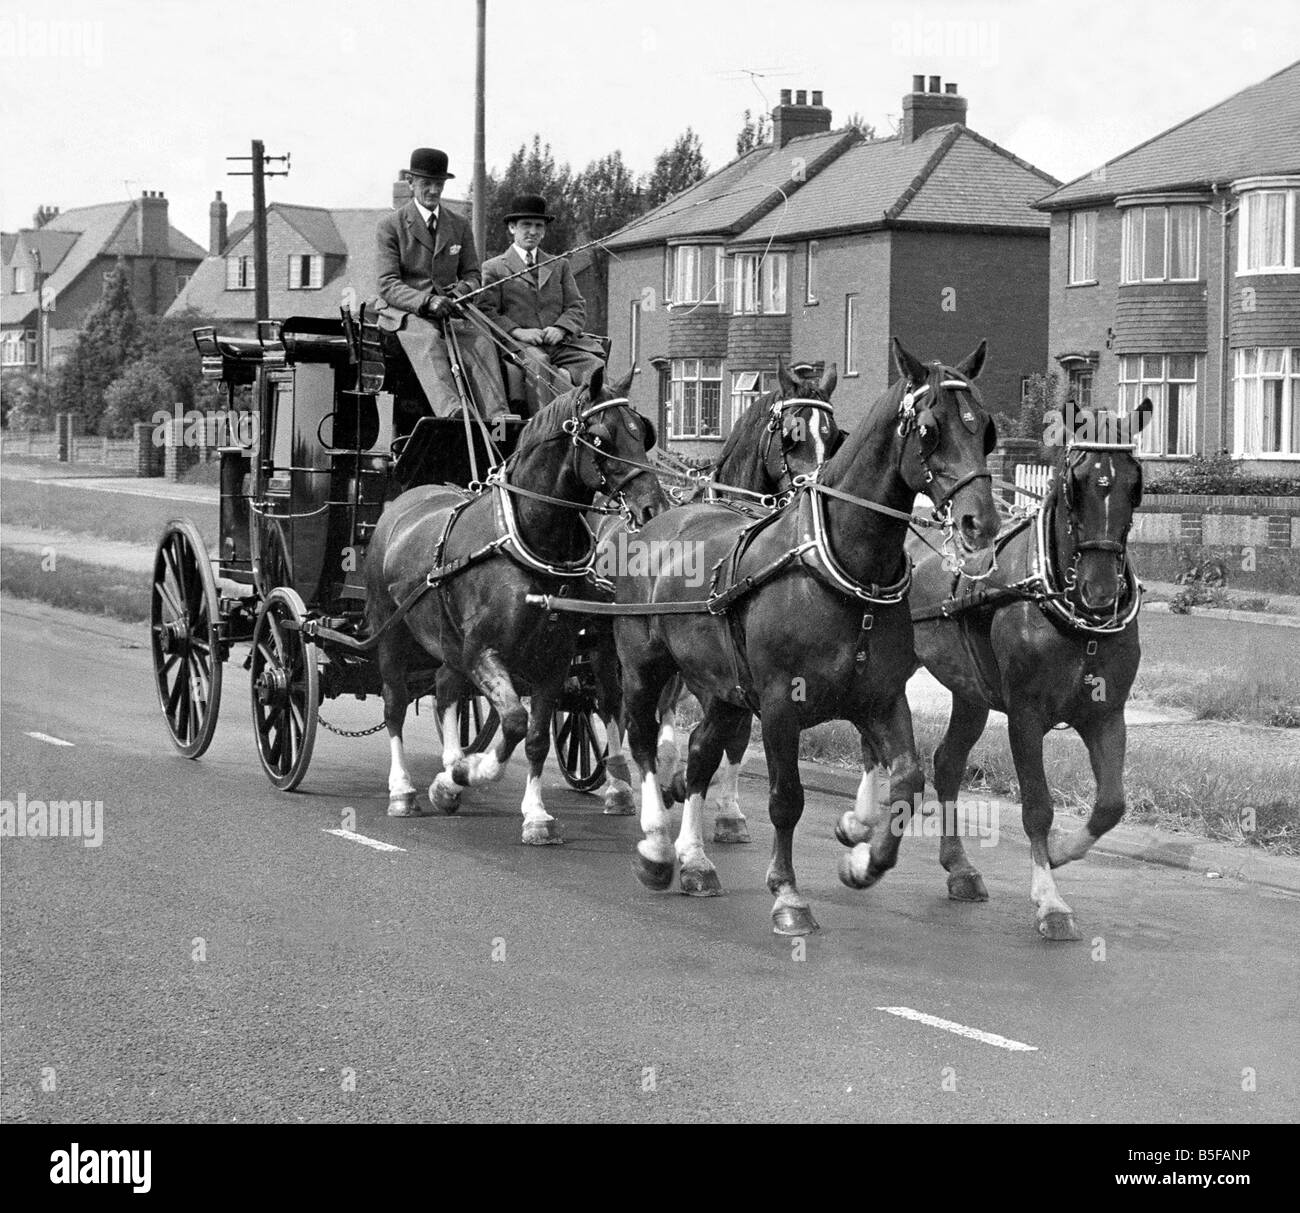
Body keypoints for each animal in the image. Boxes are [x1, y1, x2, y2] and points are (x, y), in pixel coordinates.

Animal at [366, 366, 670, 842]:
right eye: (601, 437)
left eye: (643, 433)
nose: (654, 507)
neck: (527, 540)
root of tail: (404, 501)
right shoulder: (483, 651)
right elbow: (512, 721)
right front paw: (470, 772)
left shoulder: (553, 659)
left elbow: (537, 738)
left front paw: (534, 814)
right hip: (392, 632)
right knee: (395, 703)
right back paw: (404, 791)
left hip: (451, 643)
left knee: (446, 689)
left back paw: (450, 769)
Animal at [613, 335, 998, 930]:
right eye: (930, 429)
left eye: (983, 428)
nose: (982, 521)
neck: (844, 567)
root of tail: (660, 520)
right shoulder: (778, 703)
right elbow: (786, 798)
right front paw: (788, 894)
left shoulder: (882, 698)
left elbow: (908, 781)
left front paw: (863, 860)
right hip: (644, 666)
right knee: (642, 738)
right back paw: (655, 845)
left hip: (723, 686)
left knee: (702, 749)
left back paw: (695, 860)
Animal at [899, 403, 1154, 941]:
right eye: (1076, 482)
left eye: (1135, 483)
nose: (1101, 589)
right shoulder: (1025, 715)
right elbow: (1037, 806)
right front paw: (1050, 901)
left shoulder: (1107, 714)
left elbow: (1111, 804)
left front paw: (1058, 854)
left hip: (970, 691)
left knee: (948, 762)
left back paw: (960, 867)